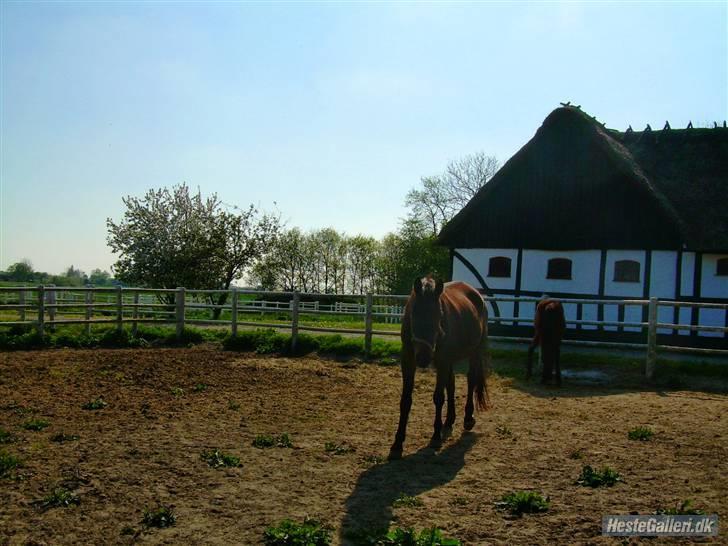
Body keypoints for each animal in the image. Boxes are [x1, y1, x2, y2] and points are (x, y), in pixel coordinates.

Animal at [386, 276, 490, 460]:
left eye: (439, 315)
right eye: (414, 314)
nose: (423, 357)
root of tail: (477, 295)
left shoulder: (442, 360)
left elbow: (438, 397)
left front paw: (435, 437)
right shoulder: (408, 359)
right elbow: (406, 400)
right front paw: (397, 444)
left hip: (474, 352)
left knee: (471, 380)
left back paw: (467, 418)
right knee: (451, 384)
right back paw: (448, 422)